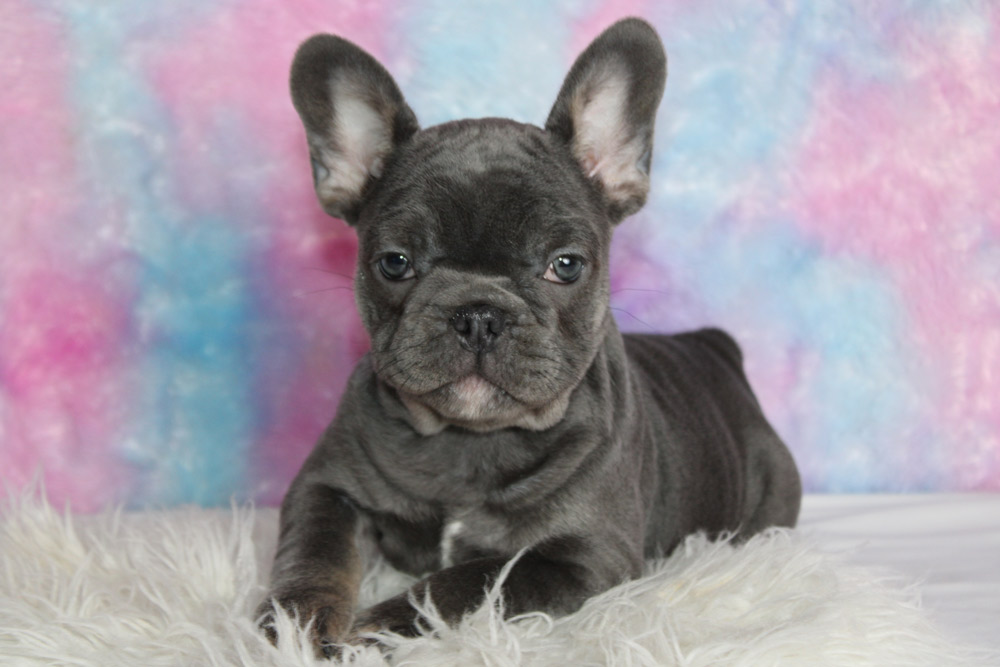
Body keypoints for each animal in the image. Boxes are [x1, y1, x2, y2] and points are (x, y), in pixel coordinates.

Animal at [260, 17, 804, 656]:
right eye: (394, 263)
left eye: (565, 265)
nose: (478, 314)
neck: (469, 441)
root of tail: (712, 345)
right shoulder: (325, 487)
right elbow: (315, 551)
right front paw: (296, 622)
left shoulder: (581, 556)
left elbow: (463, 582)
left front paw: (377, 629)